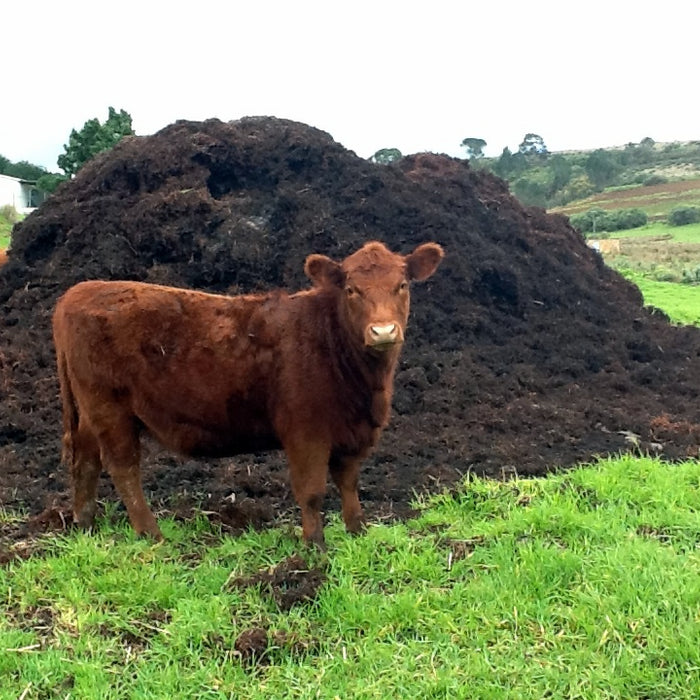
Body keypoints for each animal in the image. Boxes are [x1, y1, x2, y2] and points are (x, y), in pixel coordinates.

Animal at [52, 241, 442, 548]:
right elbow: (312, 490)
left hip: (90, 412)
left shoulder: (352, 432)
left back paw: (85, 525)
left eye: (402, 285)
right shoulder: (306, 431)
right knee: (123, 467)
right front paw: (315, 546)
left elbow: (349, 482)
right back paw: (152, 535)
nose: (383, 331)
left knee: (86, 459)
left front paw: (358, 532)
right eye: (351, 290)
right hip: (110, 408)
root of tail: (79, 291)